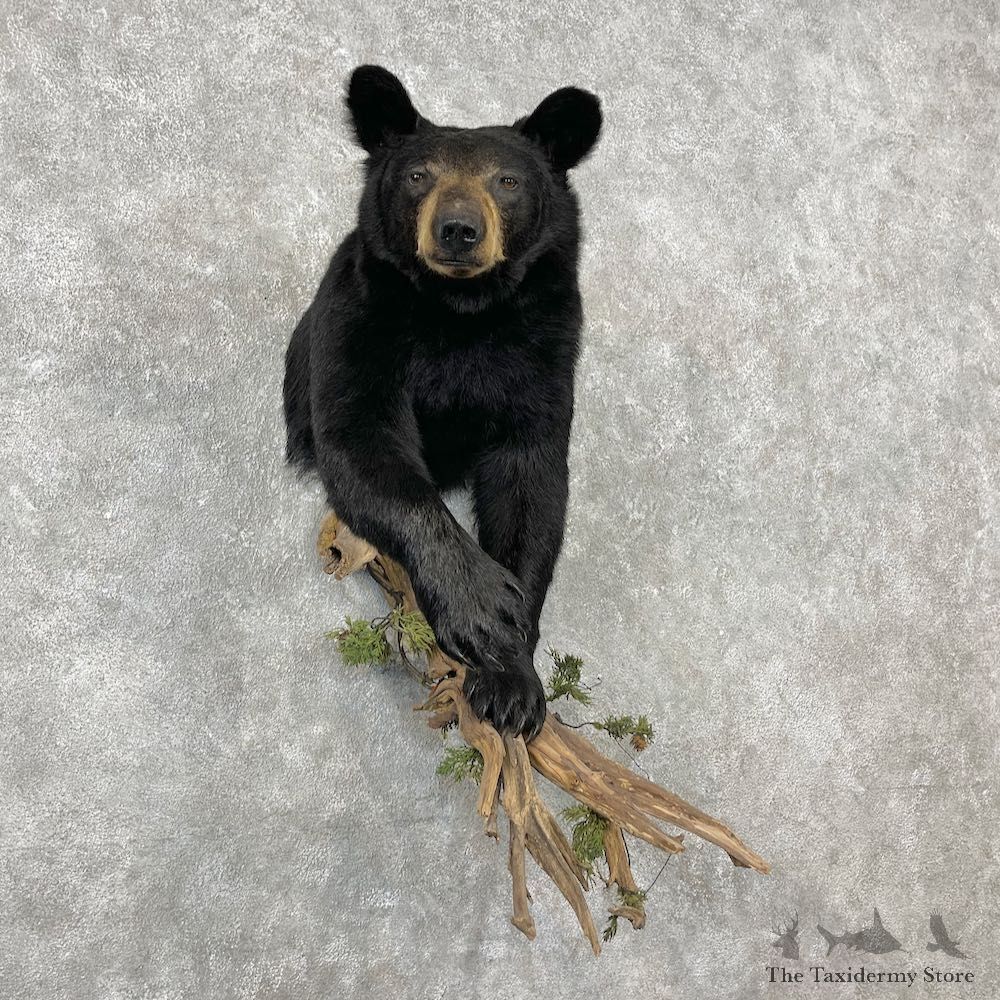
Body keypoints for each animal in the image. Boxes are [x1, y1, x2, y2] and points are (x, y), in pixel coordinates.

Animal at [283, 65, 602, 740]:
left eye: (507, 181)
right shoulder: (360, 322)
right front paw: (484, 611)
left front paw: (513, 686)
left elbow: (530, 483)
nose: (458, 229)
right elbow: (364, 444)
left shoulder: (545, 352)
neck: (461, 315)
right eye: (418, 175)